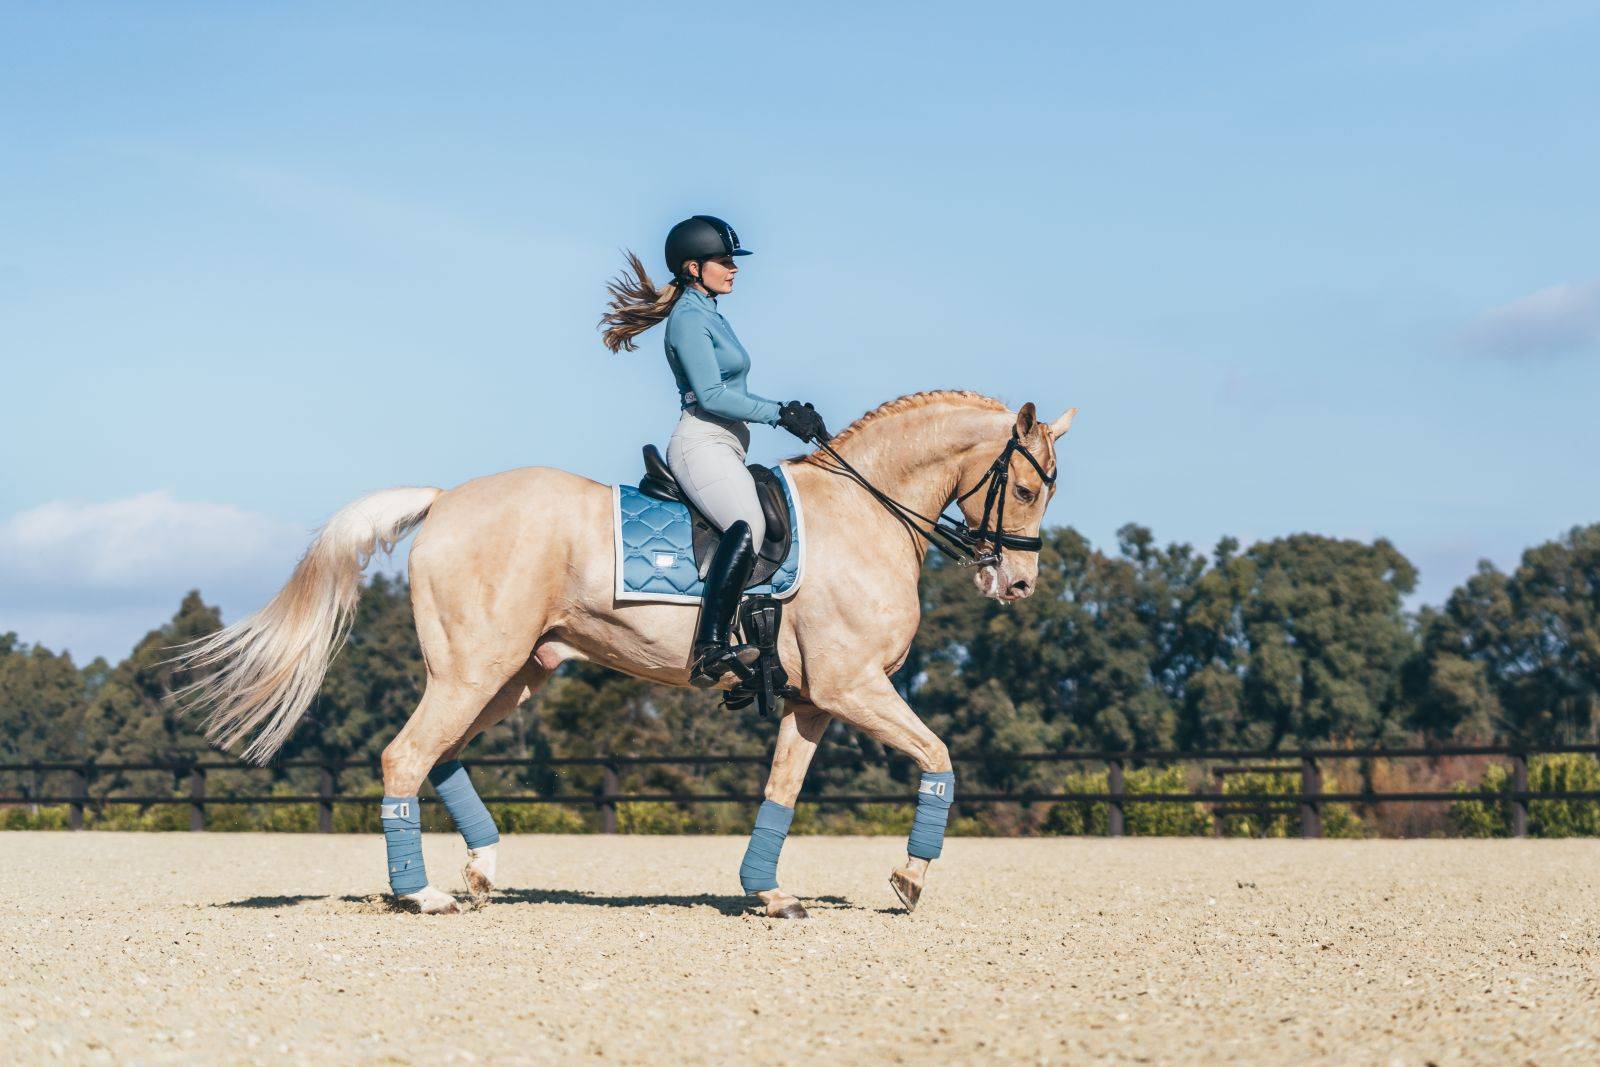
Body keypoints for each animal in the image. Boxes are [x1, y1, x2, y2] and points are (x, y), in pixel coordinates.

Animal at [178, 391, 1075, 921]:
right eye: (1031, 488)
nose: (1017, 582)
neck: (867, 513)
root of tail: (444, 500)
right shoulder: (855, 686)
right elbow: (941, 756)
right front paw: (910, 880)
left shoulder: (814, 701)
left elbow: (781, 792)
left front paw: (770, 892)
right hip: (476, 667)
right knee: (406, 754)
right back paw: (424, 894)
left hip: (515, 673)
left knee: (441, 753)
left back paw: (482, 871)